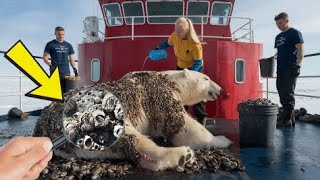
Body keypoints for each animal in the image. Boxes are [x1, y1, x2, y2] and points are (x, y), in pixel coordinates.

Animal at [33, 69, 231, 172]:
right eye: (206, 78)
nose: (221, 90)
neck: (167, 80)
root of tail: (42, 131)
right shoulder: (160, 96)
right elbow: (184, 127)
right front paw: (221, 139)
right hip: (96, 121)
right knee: (131, 138)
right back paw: (181, 155)